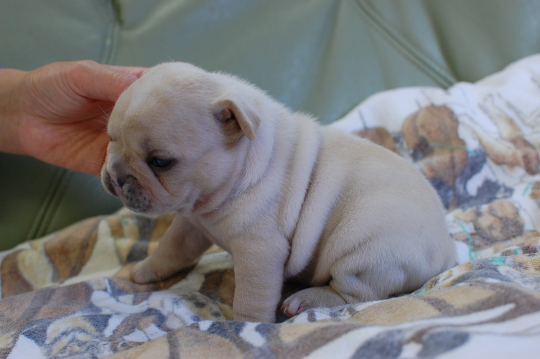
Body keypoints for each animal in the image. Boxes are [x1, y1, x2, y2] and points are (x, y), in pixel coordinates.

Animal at [101, 62, 456, 324]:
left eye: (160, 162)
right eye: (110, 139)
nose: (116, 177)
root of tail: (446, 252)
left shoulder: (259, 250)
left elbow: (252, 295)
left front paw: (248, 327)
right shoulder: (191, 225)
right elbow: (170, 250)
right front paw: (145, 270)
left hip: (363, 246)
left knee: (355, 293)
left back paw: (305, 300)